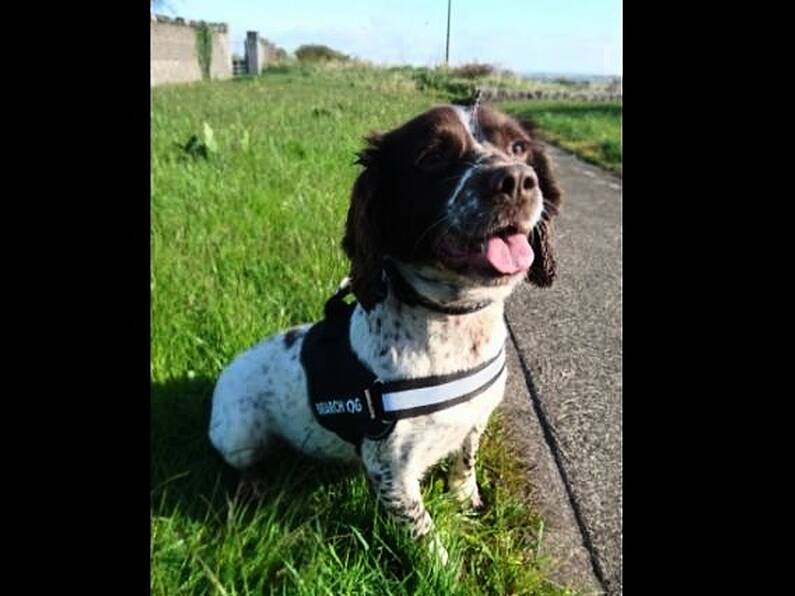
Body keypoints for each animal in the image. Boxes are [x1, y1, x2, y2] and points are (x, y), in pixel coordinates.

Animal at [208, 102, 564, 564]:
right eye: (432, 156)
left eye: (519, 147)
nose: (517, 180)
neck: (453, 325)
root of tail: (227, 369)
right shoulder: (391, 469)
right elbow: (425, 535)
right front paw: (443, 569)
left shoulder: (475, 420)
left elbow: (465, 465)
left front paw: (467, 502)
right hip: (238, 433)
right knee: (245, 464)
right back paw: (255, 489)